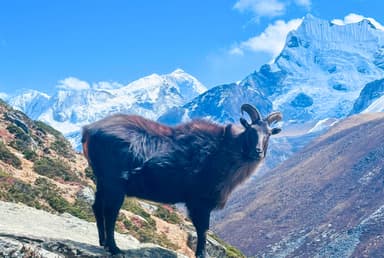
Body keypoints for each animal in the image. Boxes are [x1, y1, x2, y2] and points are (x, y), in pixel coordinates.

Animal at [82, 104, 282, 256]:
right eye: (251, 130)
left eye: (269, 133)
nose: (258, 152)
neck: (222, 150)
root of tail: (89, 130)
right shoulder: (199, 201)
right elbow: (202, 228)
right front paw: (201, 254)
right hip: (114, 184)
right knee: (110, 212)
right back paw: (114, 248)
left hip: (102, 181)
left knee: (97, 206)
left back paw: (103, 243)